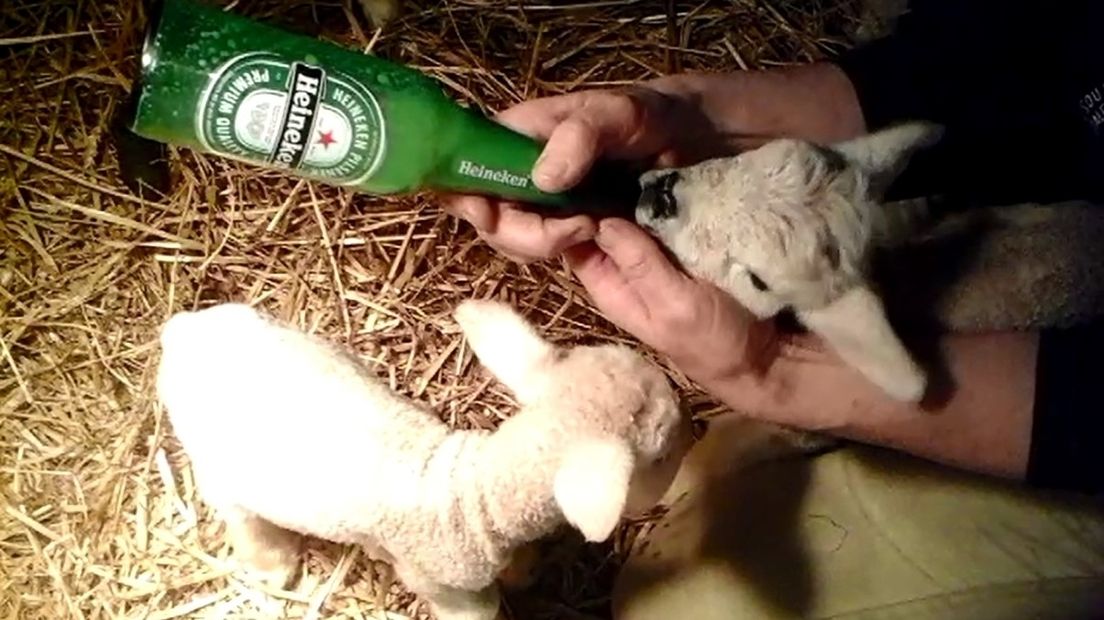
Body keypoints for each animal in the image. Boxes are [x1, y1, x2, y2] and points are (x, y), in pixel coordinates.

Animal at [155, 300, 688, 617]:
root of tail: (182, 329)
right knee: (236, 512)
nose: (696, 429)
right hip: (215, 464)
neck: (475, 496)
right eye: (661, 453)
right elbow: (479, 610)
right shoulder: (444, 586)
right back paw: (274, 563)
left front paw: (524, 572)